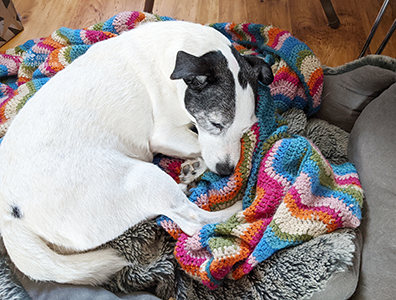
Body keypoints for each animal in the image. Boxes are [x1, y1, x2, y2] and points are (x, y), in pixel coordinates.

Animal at [0, 21, 272, 286]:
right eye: (215, 123)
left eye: (246, 129)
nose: (227, 171)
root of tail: (11, 216)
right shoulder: (164, 134)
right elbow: (199, 146)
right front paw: (199, 164)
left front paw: (193, 167)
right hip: (144, 178)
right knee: (193, 222)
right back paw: (238, 209)